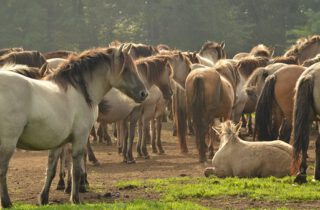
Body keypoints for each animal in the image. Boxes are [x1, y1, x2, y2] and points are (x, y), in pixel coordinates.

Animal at [0, 45, 148, 208]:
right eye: (126, 69)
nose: (144, 93)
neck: (80, 91)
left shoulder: (58, 142)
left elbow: (51, 170)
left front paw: (43, 199)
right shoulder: (80, 138)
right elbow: (76, 170)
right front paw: (75, 198)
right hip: (8, 143)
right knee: (2, 170)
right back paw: (6, 203)